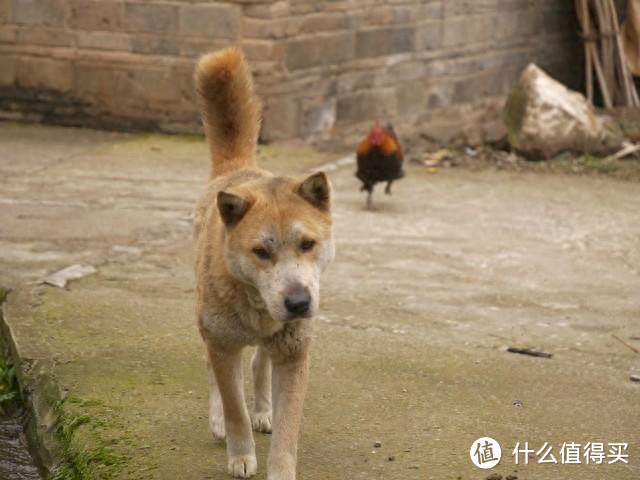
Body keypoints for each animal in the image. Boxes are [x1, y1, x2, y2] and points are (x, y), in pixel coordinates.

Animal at [191, 46, 336, 480]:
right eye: (261, 251)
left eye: (308, 244)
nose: (299, 303)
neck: (258, 308)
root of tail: (238, 169)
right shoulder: (222, 345)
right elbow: (233, 407)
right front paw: (241, 455)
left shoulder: (294, 355)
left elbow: (288, 431)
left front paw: (280, 467)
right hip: (209, 329)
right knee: (216, 374)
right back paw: (218, 419)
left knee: (258, 364)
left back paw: (263, 410)